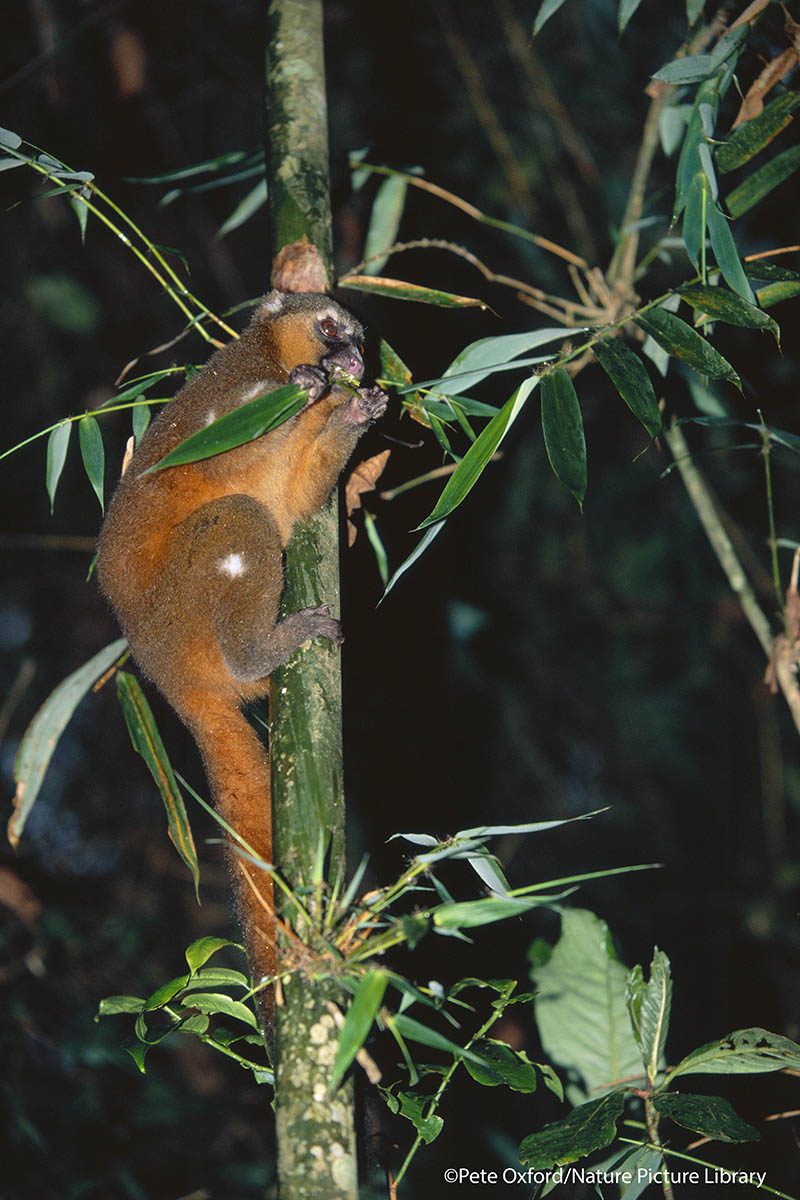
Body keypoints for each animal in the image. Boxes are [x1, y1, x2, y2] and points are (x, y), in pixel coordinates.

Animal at [96, 291, 387, 1026]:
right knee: (236, 517)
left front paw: (356, 410)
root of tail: (163, 675)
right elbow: (212, 463)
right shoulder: (233, 394)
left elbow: (303, 499)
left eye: (360, 340)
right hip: (182, 614)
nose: (350, 358)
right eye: (329, 327)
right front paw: (309, 387)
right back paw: (261, 654)